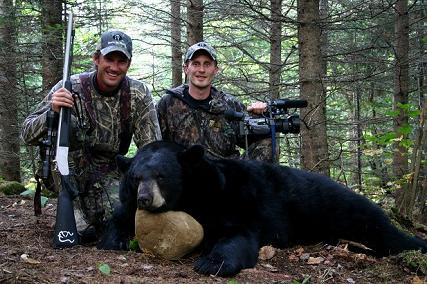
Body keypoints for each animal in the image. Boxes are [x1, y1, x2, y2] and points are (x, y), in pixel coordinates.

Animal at [98, 141, 427, 276]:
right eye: (136, 178)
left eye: (162, 176)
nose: (145, 199)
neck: (193, 196)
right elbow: (118, 219)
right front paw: (114, 239)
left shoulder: (230, 198)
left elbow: (237, 234)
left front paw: (212, 262)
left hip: (337, 205)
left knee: (380, 228)